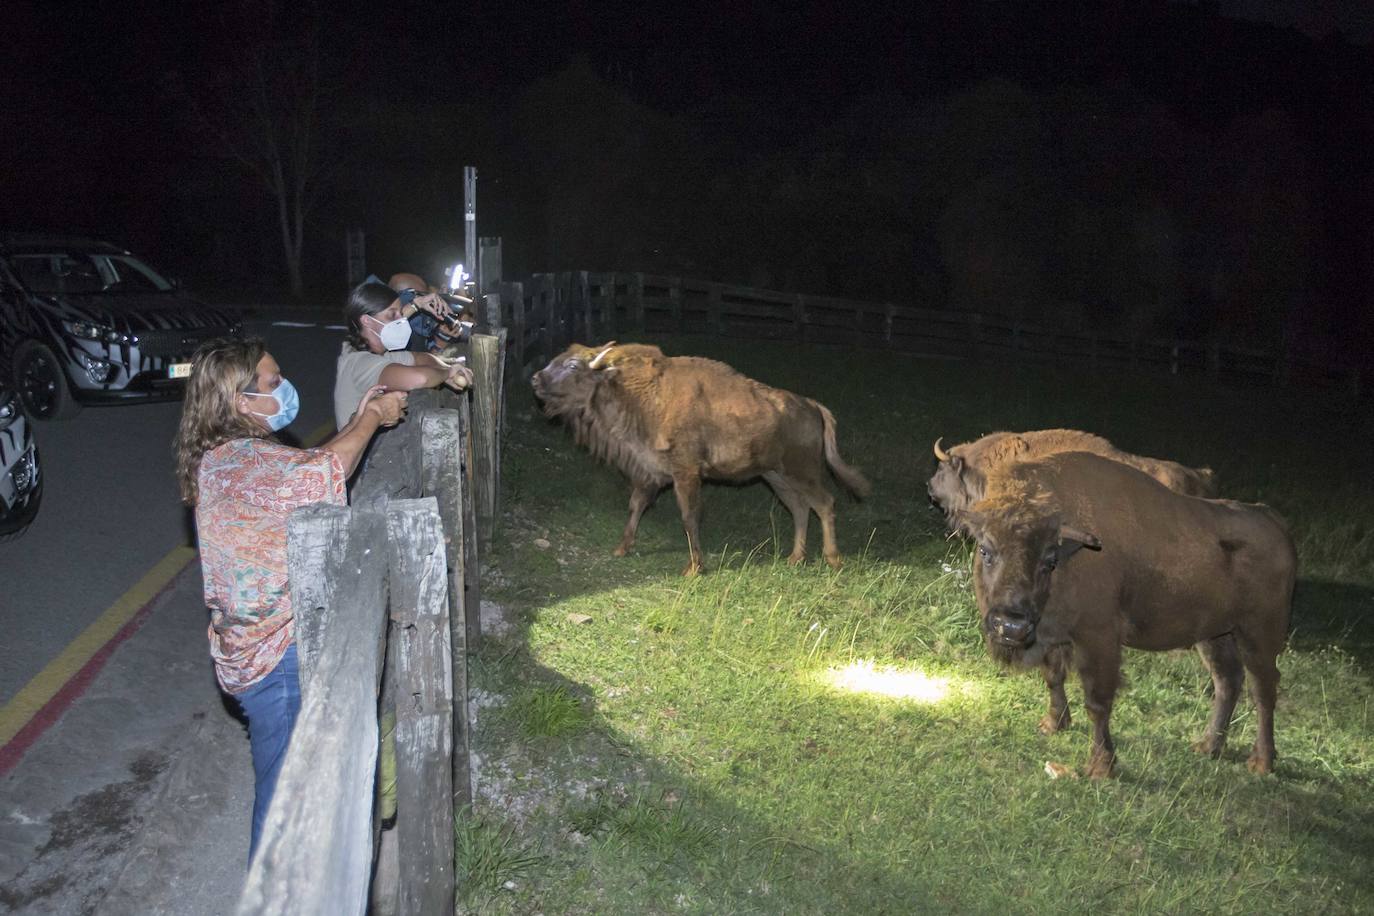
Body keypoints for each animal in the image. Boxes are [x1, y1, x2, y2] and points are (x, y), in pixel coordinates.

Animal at [527, 340, 862, 576]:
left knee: (824, 503)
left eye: (573, 365)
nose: (536, 379)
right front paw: (621, 549)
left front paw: (693, 568)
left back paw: (833, 560)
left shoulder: (685, 474)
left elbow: (689, 516)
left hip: (801, 471)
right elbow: (636, 505)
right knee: (800, 508)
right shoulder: (650, 473)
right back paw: (794, 558)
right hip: (775, 476)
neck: (637, 393)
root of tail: (813, 406)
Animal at [956, 455, 1297, 780]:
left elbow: (1097, 702)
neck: (1072, 556)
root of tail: (1272, 520)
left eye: (1049, 560)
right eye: (985, 550)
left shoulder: (1098, 639)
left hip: (1258, 634)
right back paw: (1207, 746)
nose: (1010, 625)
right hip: (1215, 635)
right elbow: (1053, 677)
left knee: (1263, 689)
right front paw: (1053, 724)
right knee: (1228, 680)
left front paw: (1100, 767)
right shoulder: (1050, 635)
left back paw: (1261, 762)